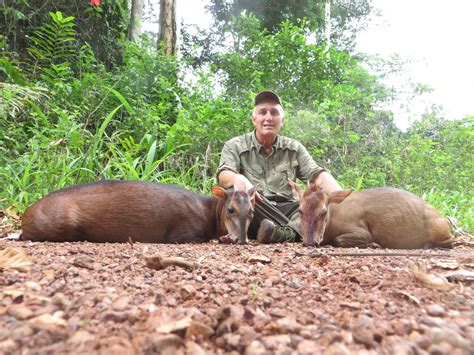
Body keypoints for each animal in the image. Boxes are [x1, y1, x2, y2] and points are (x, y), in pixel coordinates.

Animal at [286, 181, 454, 250]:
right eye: (300, 210)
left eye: (323, 211)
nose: (309, 242)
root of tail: (444, 219)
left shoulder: (362, 230)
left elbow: (338, 240)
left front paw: (374, 244)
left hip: (440, 231)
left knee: (451, 242)